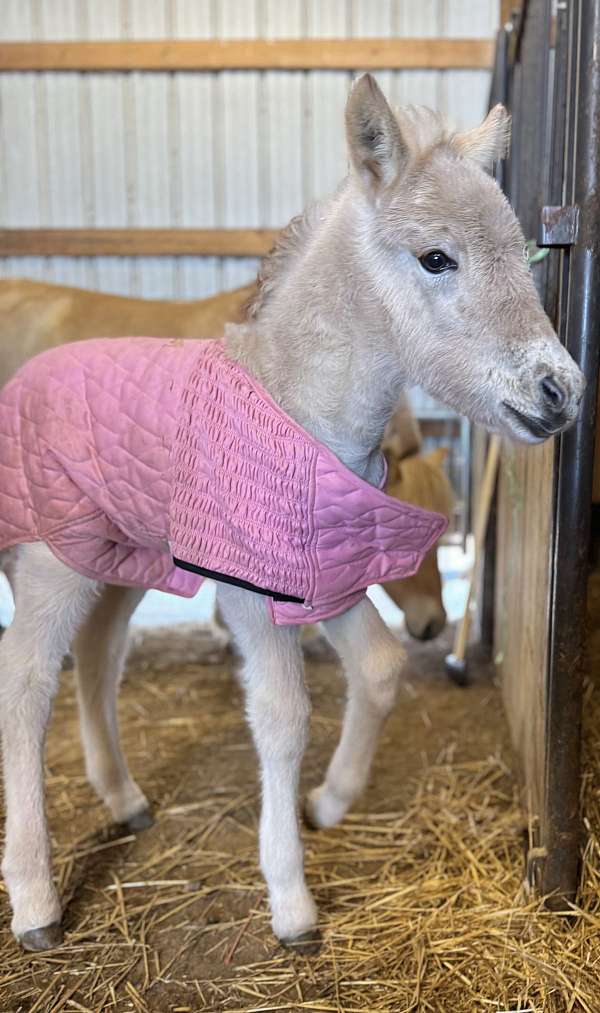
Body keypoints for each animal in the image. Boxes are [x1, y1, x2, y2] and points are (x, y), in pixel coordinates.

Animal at [0, 74, 579, 952]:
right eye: (436, 256)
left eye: (525, 255)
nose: (560, 393)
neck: (298, 406)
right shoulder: (250, 587)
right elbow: (281, 716)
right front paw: (292, 900)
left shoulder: (326, 577)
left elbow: (378, 670)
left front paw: (328, 803)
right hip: (50, 553)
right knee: (27, 679)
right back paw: (36, 899)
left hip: (123, 556)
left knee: (98, 654)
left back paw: (126, 800)